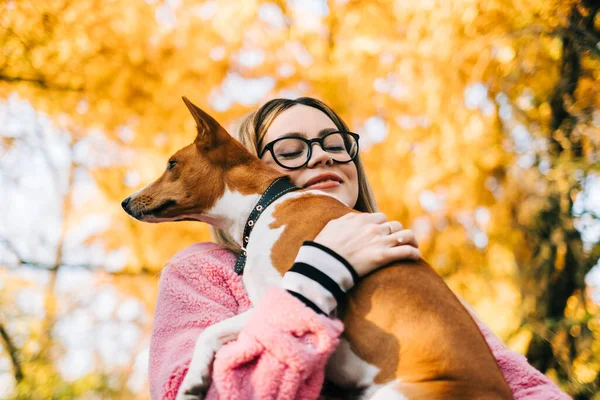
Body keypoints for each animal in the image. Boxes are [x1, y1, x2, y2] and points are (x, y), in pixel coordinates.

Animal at [122, 97, 510, 400]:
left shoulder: (281, 297)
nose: (125, 201)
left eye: (172, 164)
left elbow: (209, 331)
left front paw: (193, 380)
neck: (265, 204)